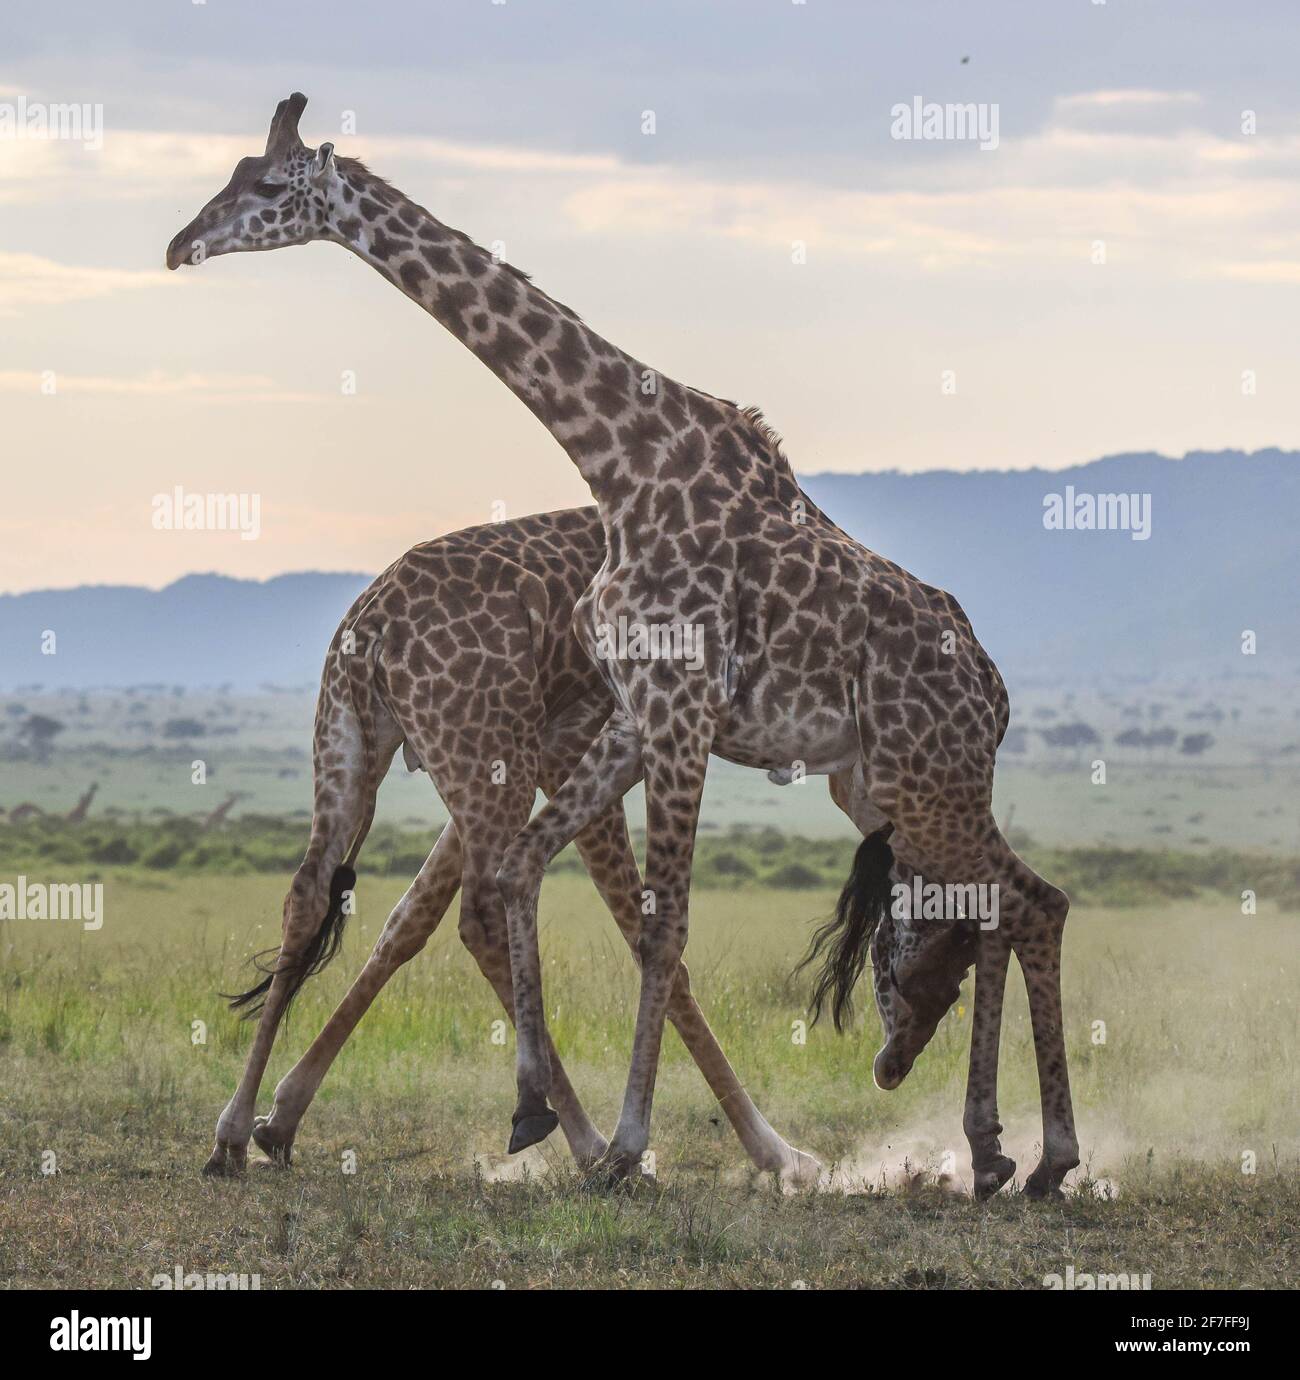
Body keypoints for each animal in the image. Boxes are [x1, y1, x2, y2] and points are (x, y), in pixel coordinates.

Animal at [198, 507, 819, 1184]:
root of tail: (372, 622)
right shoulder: (572, 741)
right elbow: (652, 942)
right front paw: (780, 1155)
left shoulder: (527, 753)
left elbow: (407, 920)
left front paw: (280, 1118)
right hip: (490, 756)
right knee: (482, 919)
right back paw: (579, 1137)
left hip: (371, 748)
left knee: (309, 893)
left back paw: (231, 1136)